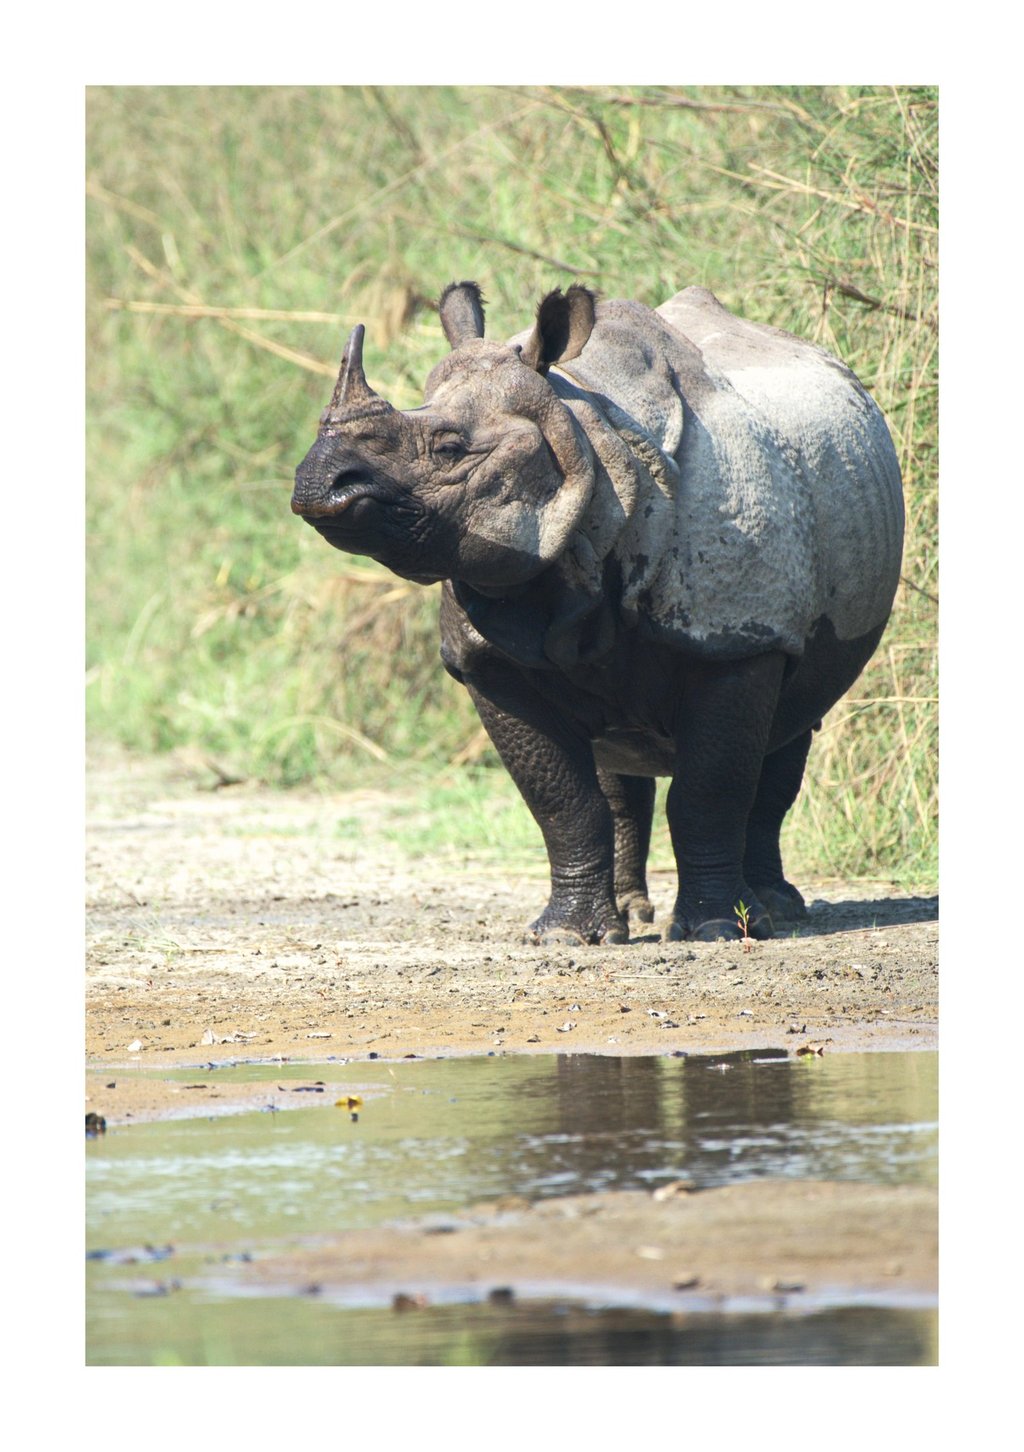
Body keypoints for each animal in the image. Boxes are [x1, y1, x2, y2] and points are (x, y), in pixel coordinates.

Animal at [292, 281, 904, 942]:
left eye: (450, 447)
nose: (319, 481)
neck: (595, 448)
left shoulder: (739, 637)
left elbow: (710, 790)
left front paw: (714, 930)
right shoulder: (489, 660)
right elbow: (562, 799)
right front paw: (565, 935)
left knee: (791, 728)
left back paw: (773, 912)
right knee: (621, 758)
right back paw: (635, 916)